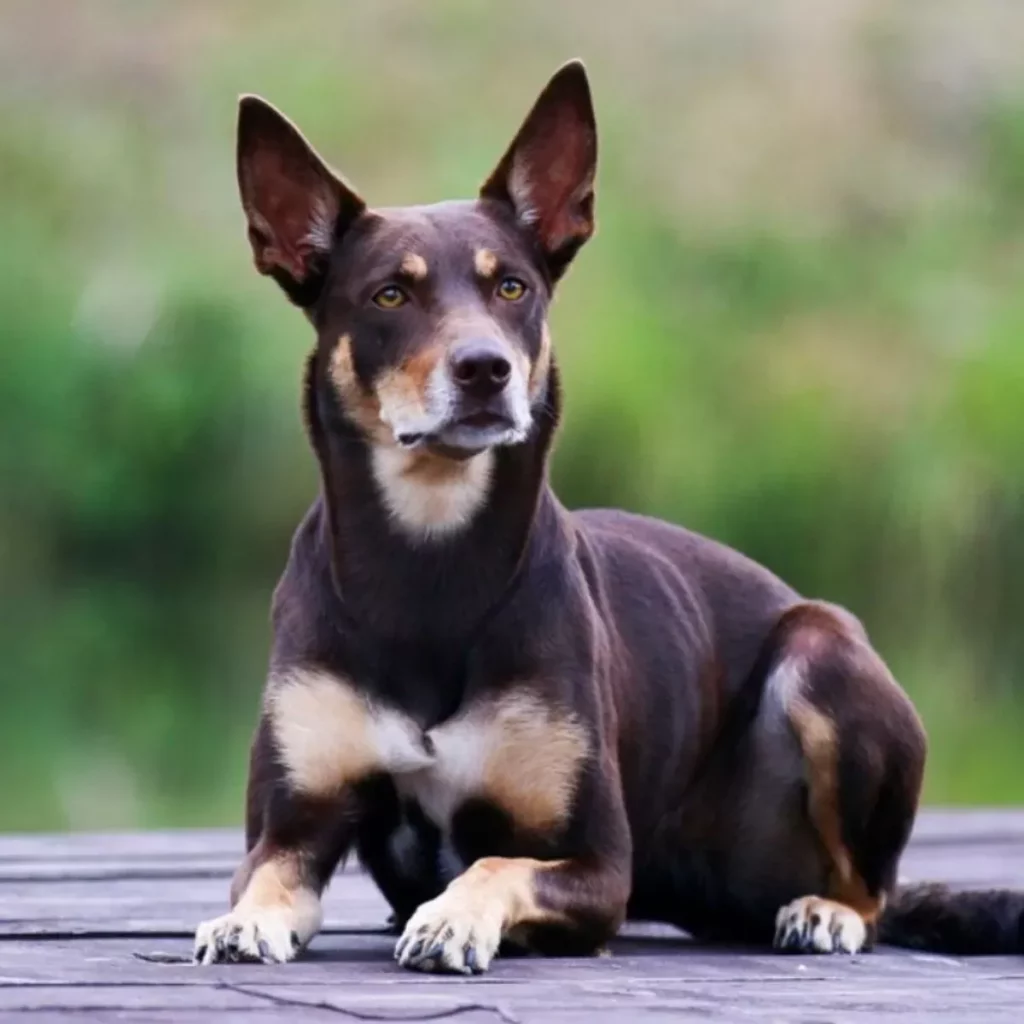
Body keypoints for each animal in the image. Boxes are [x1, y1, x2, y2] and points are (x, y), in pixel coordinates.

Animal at [193, 59, 1024, 970]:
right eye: (388, 295)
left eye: (512, 287)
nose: (484, 369)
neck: (429, 561)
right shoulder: (294, 823)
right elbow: (269, 878)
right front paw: (245, 922)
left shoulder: (594, 864)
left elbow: (492, 863)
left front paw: (451, 918)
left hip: (822, 657)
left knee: (869, 889)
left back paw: (827, 910)